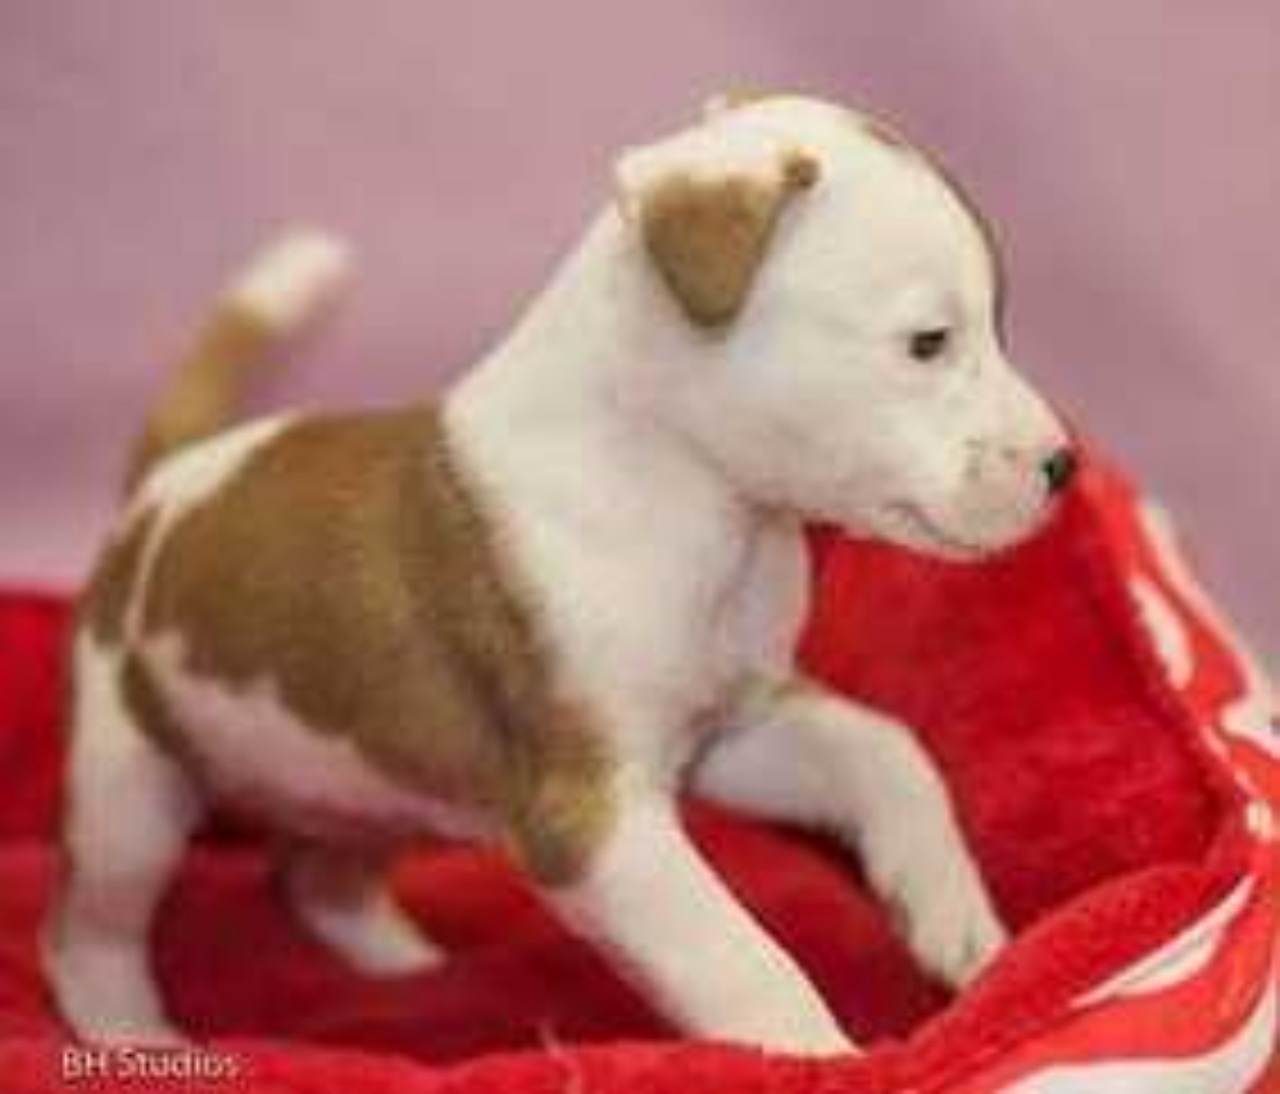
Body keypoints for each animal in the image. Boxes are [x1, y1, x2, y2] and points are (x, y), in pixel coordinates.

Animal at [45, 95, 1070, 1059]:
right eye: (928, 342)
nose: (1064, 468)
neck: (705, 507)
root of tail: (168, 482)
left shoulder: (733, 729)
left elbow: (886, 751)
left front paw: (950, 915)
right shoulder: (594, 821)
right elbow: (736, 954)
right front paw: (817, 1054)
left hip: (361, 783)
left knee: (313, 874)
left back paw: (403, 964)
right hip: (130, 794)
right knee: (87, 932)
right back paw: (131, 1033)